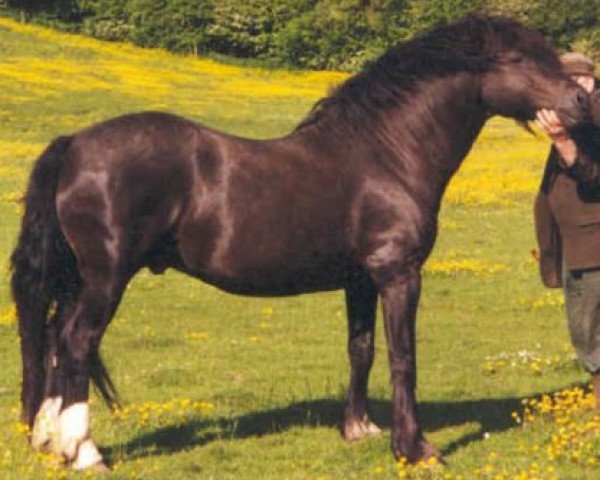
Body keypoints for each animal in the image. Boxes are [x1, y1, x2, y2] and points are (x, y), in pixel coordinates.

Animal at [11, 14, 588, 468]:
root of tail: (74, 145)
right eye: (518, 57)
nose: (581, 100)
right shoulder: (399, 274)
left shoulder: (361, 279)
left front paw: (359, 429)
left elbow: (362, 349)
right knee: (77, 342)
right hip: (106, 277)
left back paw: (50, 440)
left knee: (56, 340)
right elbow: (403, 356)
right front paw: (415, 448)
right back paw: (86, 452)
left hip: (79, 279)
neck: (387, 152)